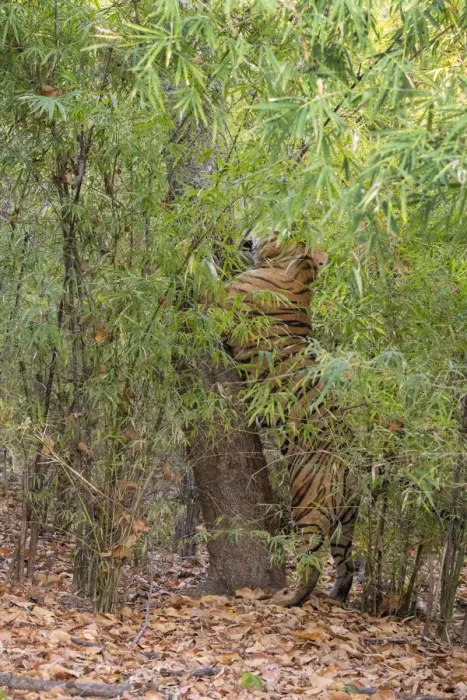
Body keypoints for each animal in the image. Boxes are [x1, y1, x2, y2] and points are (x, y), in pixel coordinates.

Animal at [224, 235, 358, 606]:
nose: (246, 238)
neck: (299, 271)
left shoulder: (224, 298)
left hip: (306, 503)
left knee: (312, 561)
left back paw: (287, 600)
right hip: (347, 520)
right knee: (347, 562)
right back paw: (336, 597)